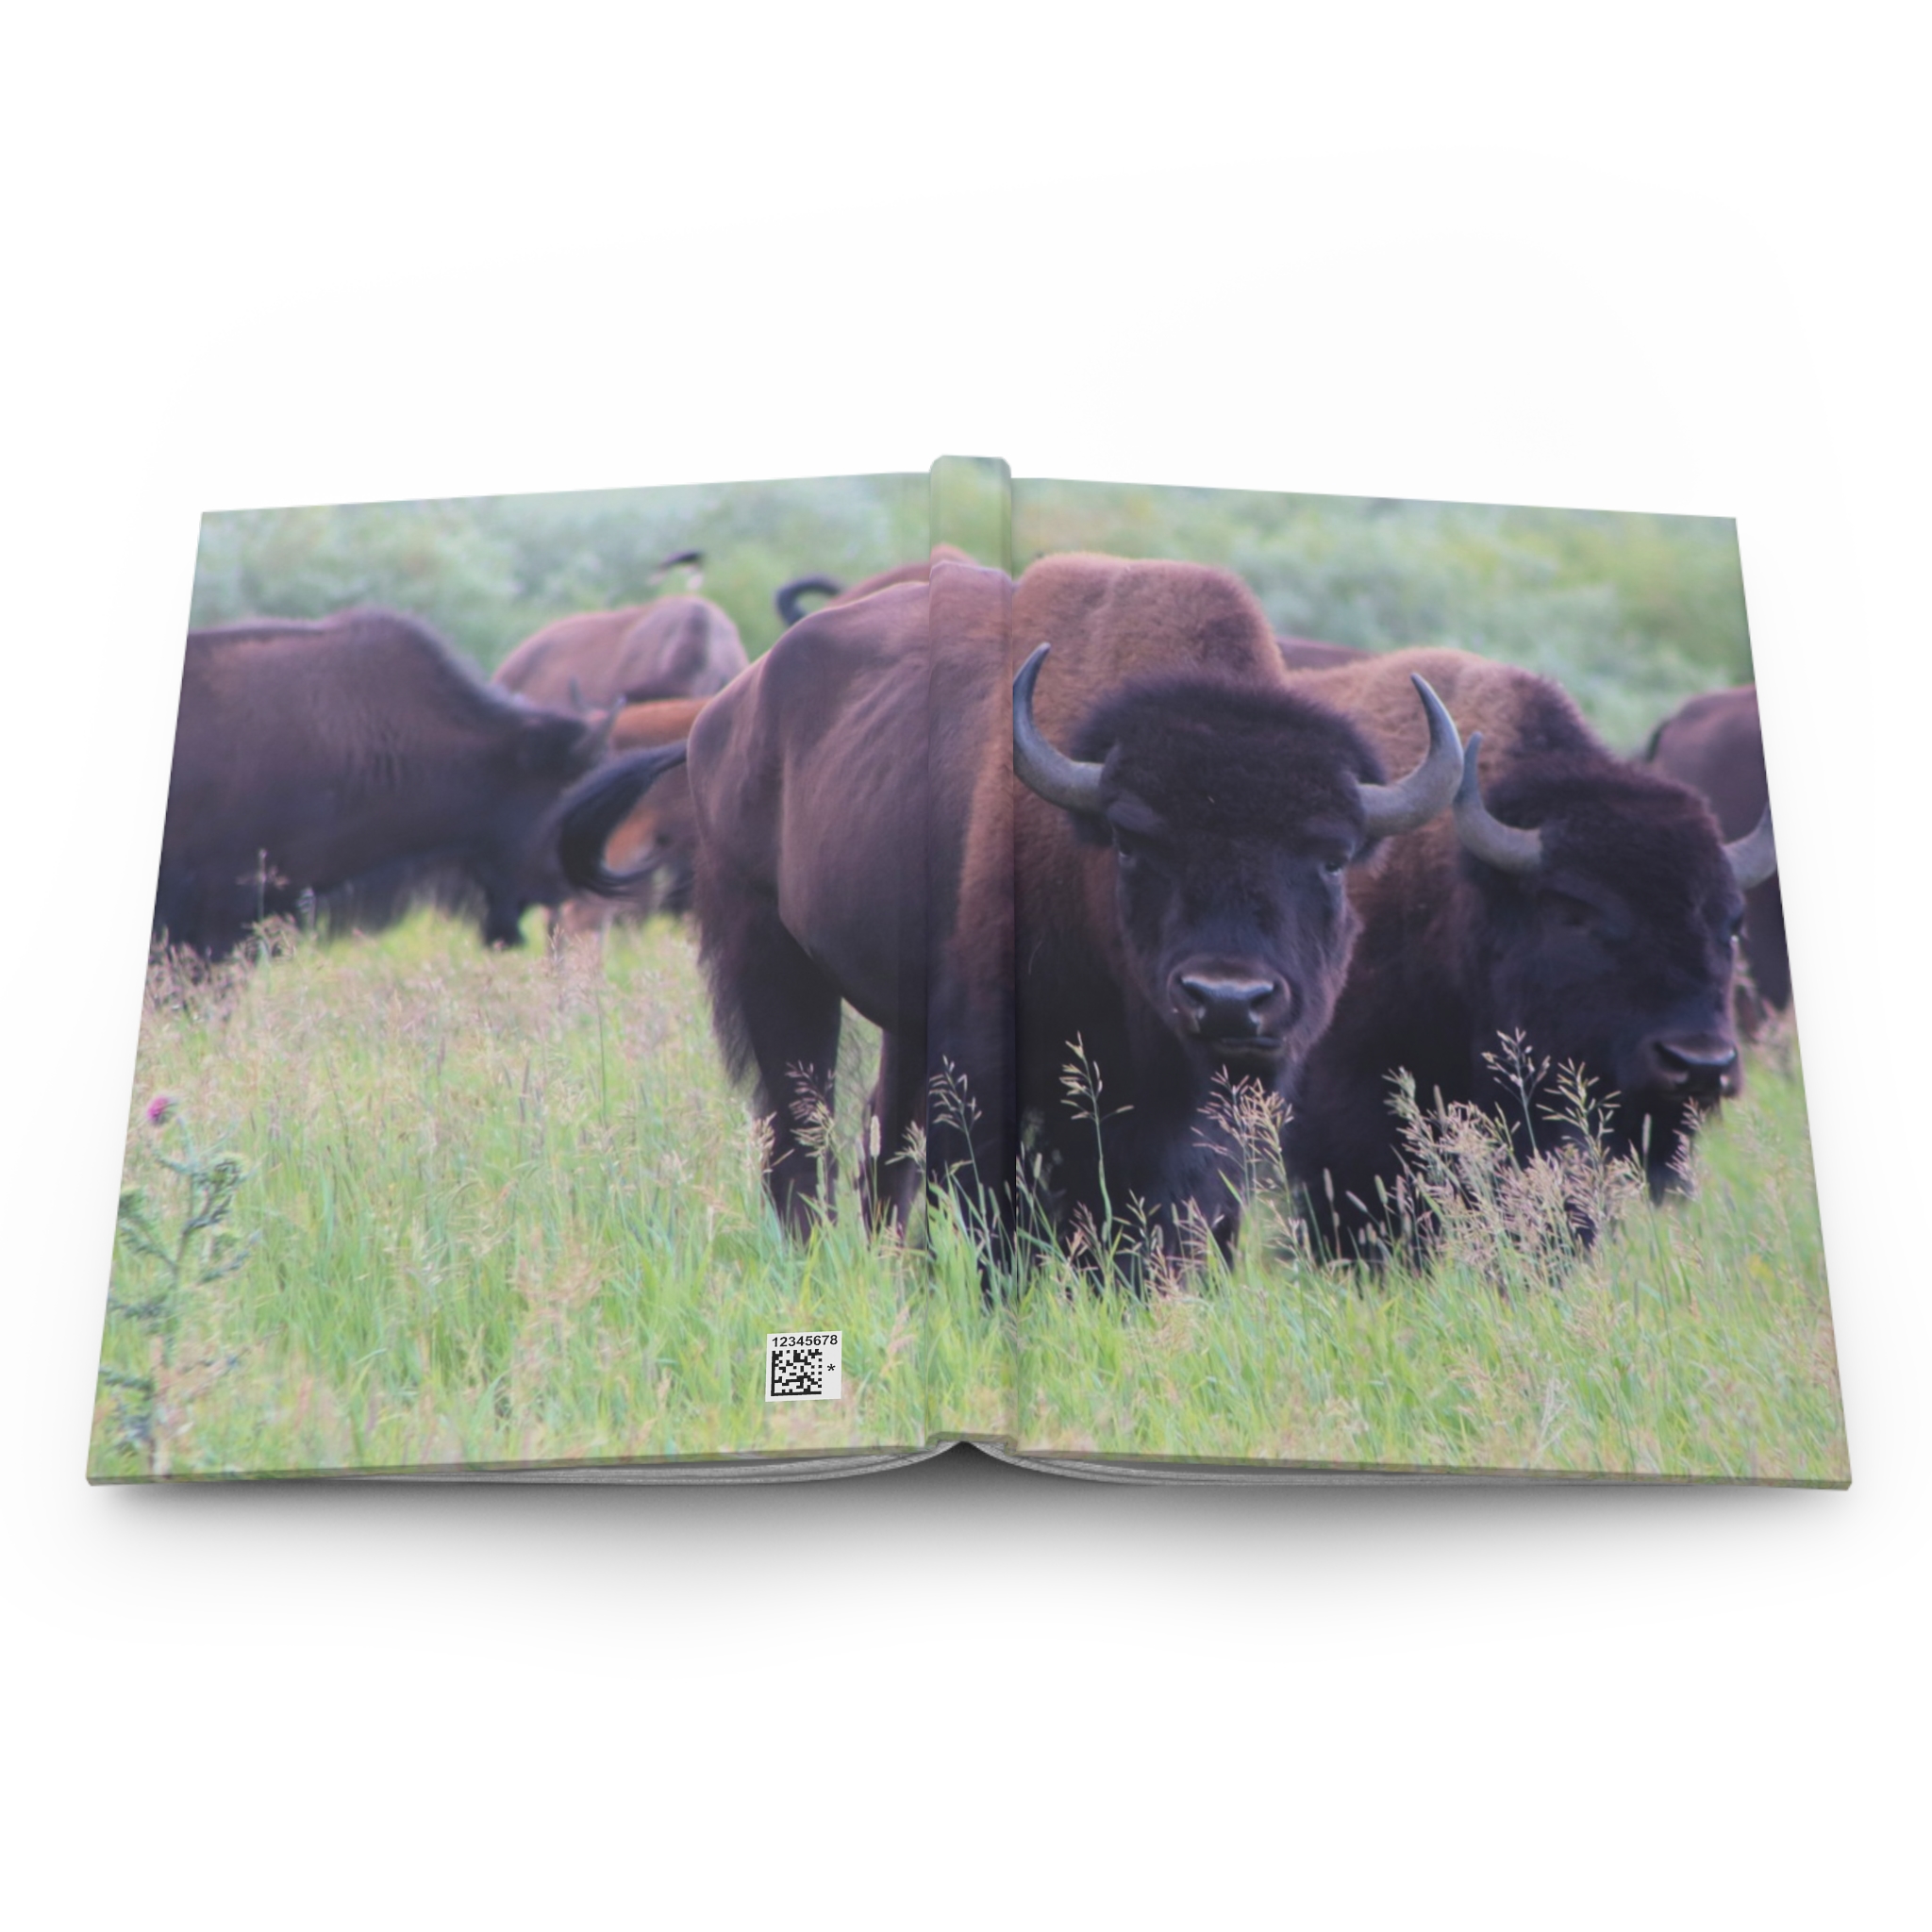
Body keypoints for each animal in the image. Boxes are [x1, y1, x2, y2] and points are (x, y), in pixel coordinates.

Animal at [563, 554, 1462, 1265]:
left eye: (1333, 857)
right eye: (1132, 841)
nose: (1227, 999)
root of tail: (724, 713)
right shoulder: (995, 1056)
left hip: (902, 1016)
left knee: (881, 1147)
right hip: (768, 954)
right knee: (798, 1130)